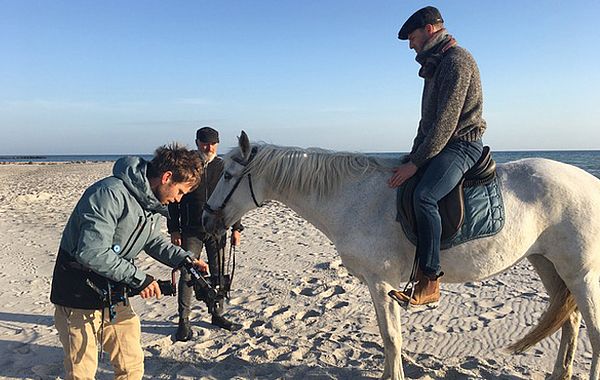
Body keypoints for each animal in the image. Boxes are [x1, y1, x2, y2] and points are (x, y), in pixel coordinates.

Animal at [203, 131, 600, 380]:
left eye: (228, 174)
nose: (207, 218)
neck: (353, 198)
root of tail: (590, 182)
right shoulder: (385, 286)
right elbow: (391, 337)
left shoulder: (380, 283)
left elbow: (391, 338)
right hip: (548, 264)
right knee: (570, 321)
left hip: (580, 274)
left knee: (593, 332)